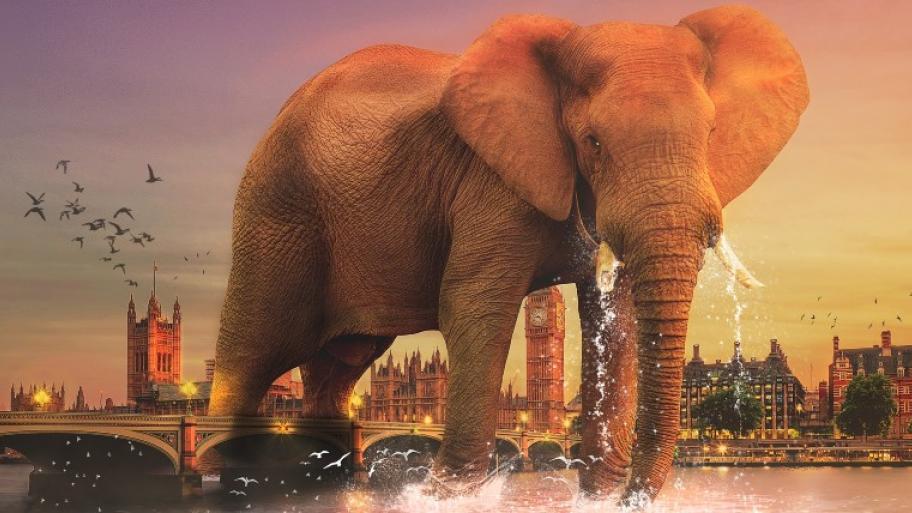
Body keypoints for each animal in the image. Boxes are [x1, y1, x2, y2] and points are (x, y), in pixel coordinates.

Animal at [209, 4, 808, 502]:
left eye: (712, 134)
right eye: (592, 142)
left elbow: (614, 322)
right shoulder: (487, 194)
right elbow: (472, 313)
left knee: (334, 369)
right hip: (273, 223)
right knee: (247, 360)